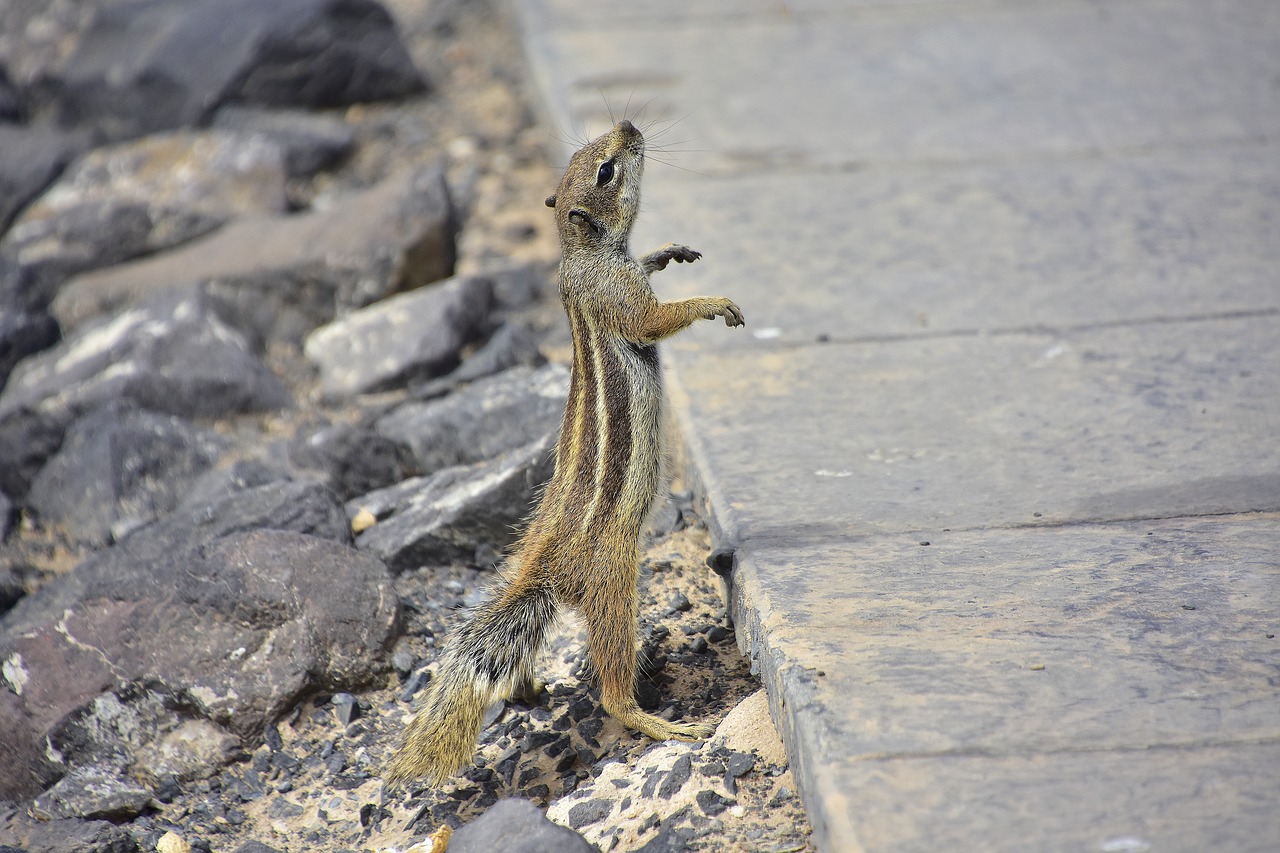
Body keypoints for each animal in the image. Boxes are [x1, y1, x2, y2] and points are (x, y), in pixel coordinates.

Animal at [384, 119, 747, 783]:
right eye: (606, 169)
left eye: (595, 151)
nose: (630, 126)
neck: (581, 253)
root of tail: (548, 572)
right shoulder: (618, 297)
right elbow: (654, 319)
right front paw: (712, 302)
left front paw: (667, 252)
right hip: (616, 578)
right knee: (610, 687)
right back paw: (658, 720)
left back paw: (527, 688)